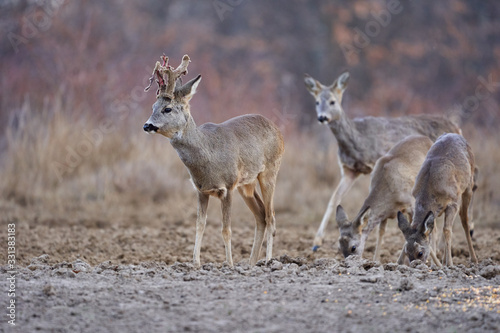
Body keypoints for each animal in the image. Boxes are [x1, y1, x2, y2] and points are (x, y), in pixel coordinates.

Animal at [145, 54, 286, 268]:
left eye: (167, 109)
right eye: (153, 107)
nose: (147, 125)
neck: (208, 157)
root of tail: (278, 130)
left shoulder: (227, 186)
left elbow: (226, 229)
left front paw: (229, 264)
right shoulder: (201, 190)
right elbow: (199, 226)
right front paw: (196, 263)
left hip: (270, 172)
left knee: (271, 216)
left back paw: (268, 261)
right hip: (246, 184)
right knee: (260, 215)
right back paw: (251, 262)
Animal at [302, 72, 462, 249]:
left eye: (332, 101)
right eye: (317, 102)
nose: (322, 117)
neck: (357, 140)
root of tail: (456, 127)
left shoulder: (377, 161)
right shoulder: (349, 170)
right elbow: (334, 198)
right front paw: (316, 242)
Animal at [336, 134, 438, 262]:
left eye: (353, 247)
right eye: (339, 247)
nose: (349, 261)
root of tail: (426, 138)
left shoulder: (411, 203)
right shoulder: (385, 214)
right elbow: (381, 232)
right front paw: (375, 260)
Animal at [396, 132, 478, 264]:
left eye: (420, 253)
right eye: (407, 252)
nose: (415, 265)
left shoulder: (453, 202)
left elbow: (447, 230)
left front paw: (449, 264)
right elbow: (434, 231)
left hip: (468, 186)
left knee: (464, 221)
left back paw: (473, 258)